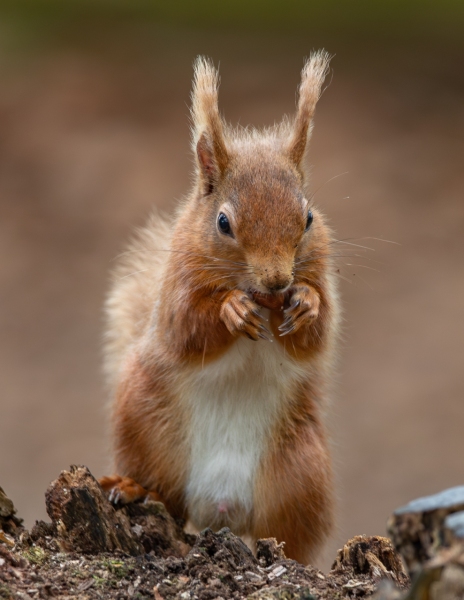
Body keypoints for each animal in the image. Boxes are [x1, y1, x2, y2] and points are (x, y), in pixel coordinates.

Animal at [99, 50, 340, 564]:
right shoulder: (176, 289)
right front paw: (231, 309)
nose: (277, 280)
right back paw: (134, 488)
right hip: (145, 424)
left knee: (288, 537)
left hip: (300, 475)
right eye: (224, 222)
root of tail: (219, 505)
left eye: (309, 217)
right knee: (166, 497)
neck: (264, 300)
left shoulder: (322, 274)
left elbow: (318, 335)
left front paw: (306, 305)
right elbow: (188, 328)